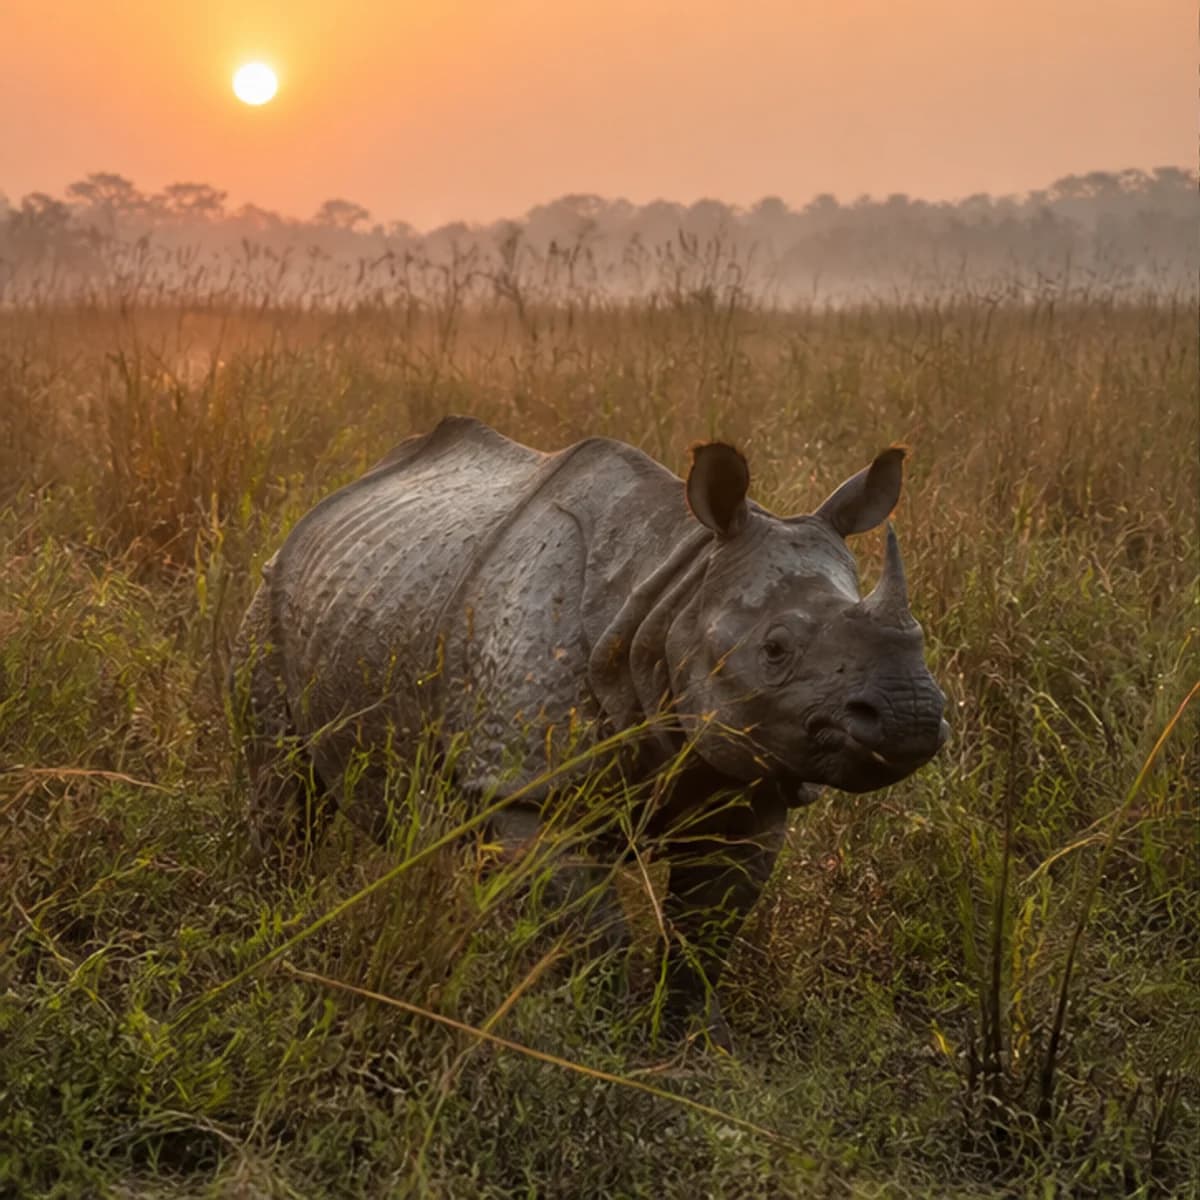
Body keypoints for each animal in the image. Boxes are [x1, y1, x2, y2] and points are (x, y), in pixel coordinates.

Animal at [231, 415, 948, 1043]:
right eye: (774, 650)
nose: (911, 712)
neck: (676, 589)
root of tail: (333, 498)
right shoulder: (531, 790)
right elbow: (593, 935)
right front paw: (598, 1043)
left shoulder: (750, 780)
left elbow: (705, 933)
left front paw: (694, 1045)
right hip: (270, 596)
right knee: (286, 793)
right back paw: (271, 929)